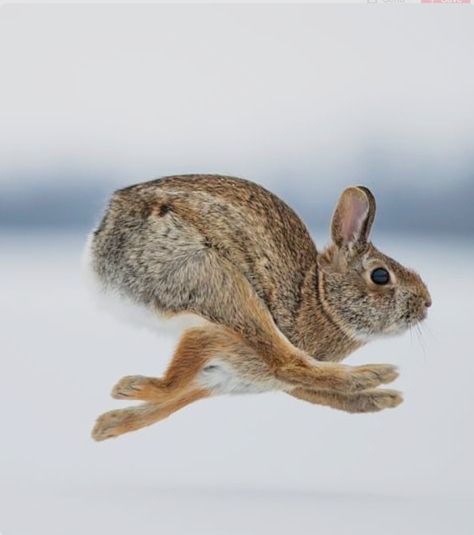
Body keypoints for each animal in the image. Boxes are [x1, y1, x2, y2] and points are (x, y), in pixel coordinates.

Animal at [87, 174, 432, 442]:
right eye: (380, 276)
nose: (427, 303)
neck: (318, 297)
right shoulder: (209, 337)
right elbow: (175, 384)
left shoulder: (219, 377)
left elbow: (175, 397)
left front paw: (109, 423)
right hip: (215, 278)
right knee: (286, 362)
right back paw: (375, 374)